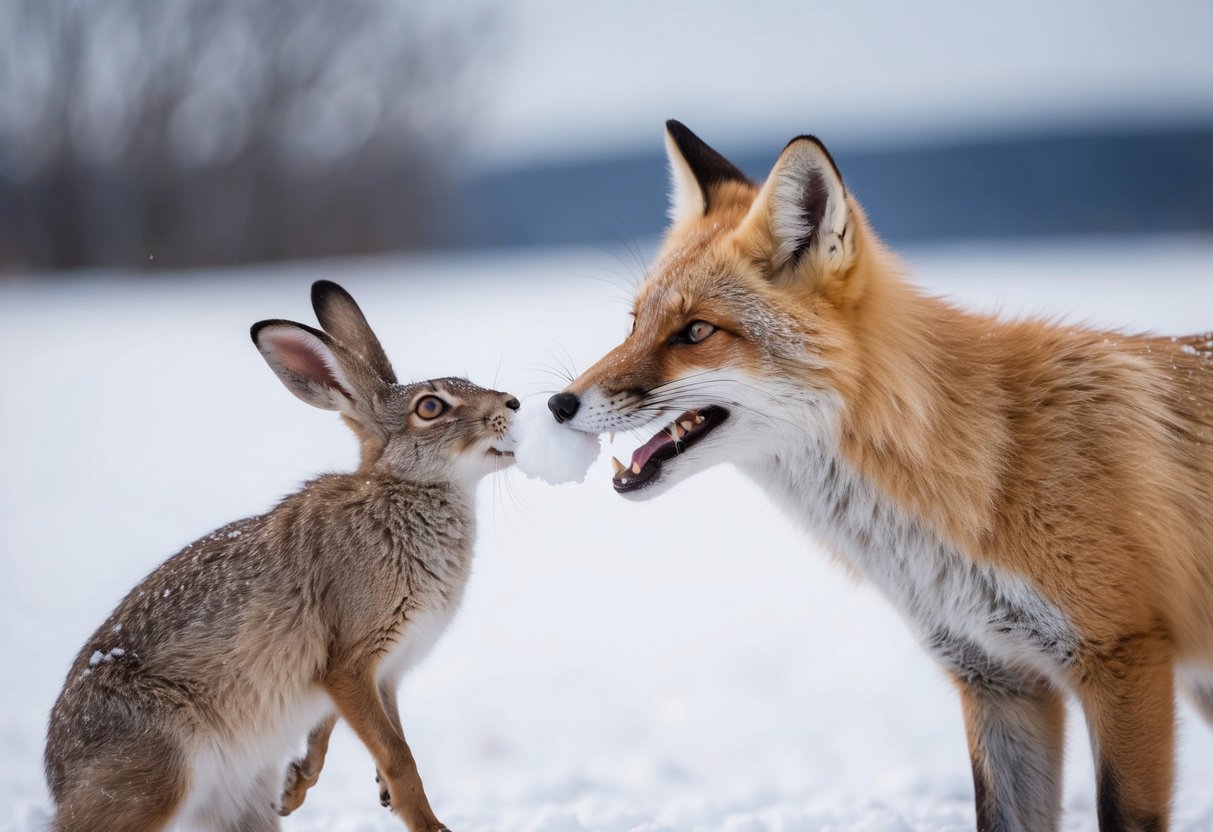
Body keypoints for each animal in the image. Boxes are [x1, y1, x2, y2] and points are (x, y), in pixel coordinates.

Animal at [44, 280, 519, 832]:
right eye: (430, 409)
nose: (513, 403)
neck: (401, 489)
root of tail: (59, 780)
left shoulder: (384, 673)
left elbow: (371, 735)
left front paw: (302, 785)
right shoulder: (350, 662)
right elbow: (400, 756)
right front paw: (430, 826)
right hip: (160, 768)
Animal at [547, 120, 1213, 832]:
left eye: (696, 331)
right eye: (634, 322)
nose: (558, 405)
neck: (984, 463)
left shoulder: (1121, 657)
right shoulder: (997, 678)